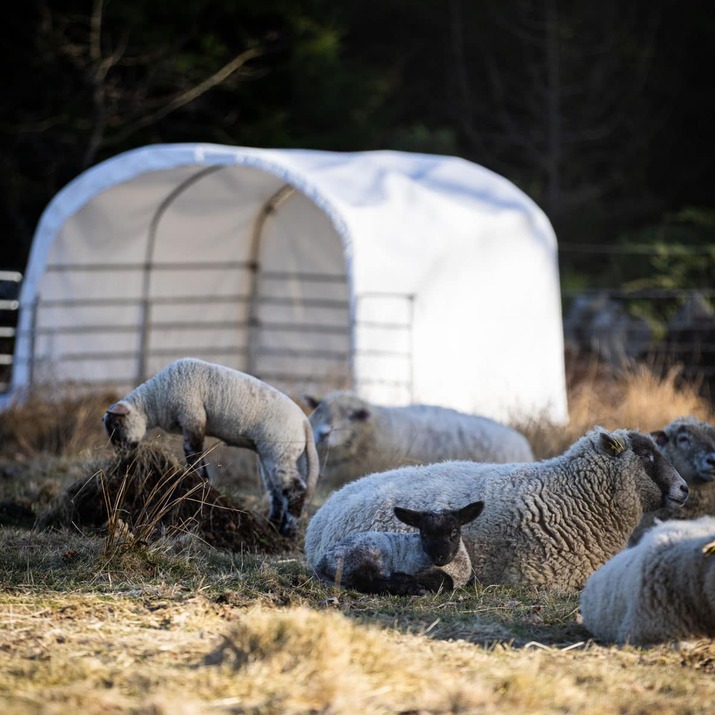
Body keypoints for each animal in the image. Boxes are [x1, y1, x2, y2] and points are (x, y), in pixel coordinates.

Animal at [103, 357, 319, 538]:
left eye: (116, 426)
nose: (122, 455)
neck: (155, 400)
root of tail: (304, 423)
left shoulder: (192, 415)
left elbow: (194, 453)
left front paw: (198, 479)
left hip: (280, 453)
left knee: (295, 490)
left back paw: (287, 532)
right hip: (271, 456)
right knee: (276, 493)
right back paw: (272, 527)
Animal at [314, 500, 484, 595]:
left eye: (454, 531)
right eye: (424, 534)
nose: (439, 556)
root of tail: (321, 563)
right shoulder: (414, 566)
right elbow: (442, 580)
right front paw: (414, 583)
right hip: (365, 556)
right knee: (365, 581)